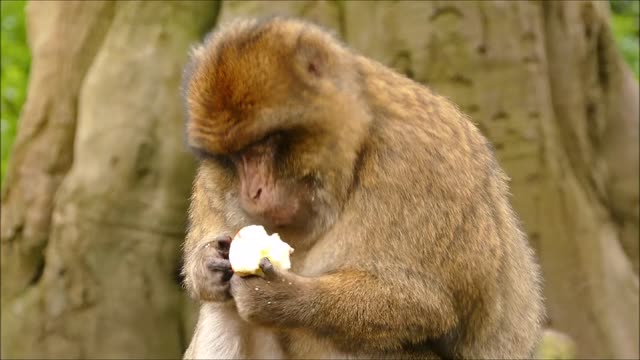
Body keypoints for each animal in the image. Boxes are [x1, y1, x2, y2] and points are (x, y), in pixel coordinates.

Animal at [179, 16, 544, 360]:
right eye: (232, 157)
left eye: (262, 145)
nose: (250, 192)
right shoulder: (212, 185)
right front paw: (207, 265)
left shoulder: (414, 163)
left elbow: (426, 304)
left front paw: (280, 296)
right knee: (222, 309)